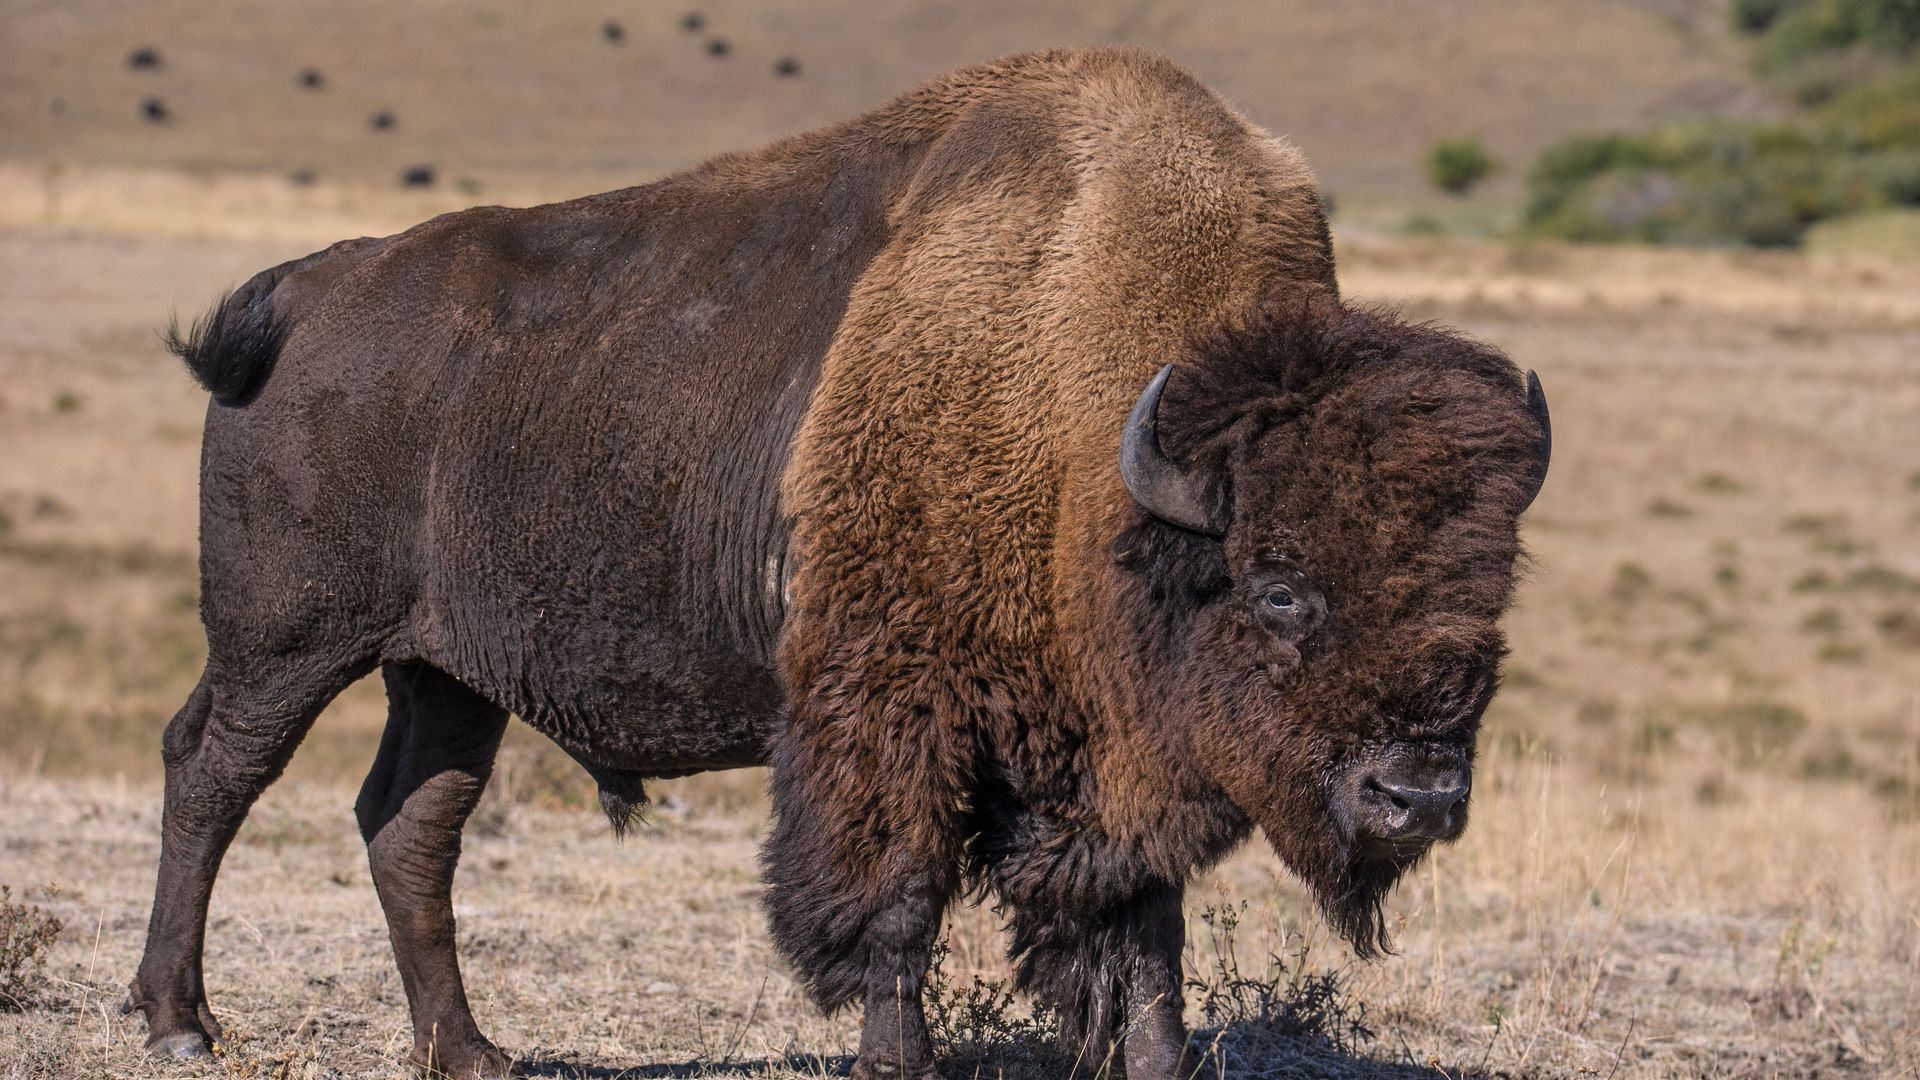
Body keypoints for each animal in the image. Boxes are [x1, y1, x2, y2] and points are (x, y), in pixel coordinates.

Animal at [128, 47, 1549, 1079]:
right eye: (1281, 588)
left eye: (1487, 606)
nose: (1419, 796)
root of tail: (312, 290)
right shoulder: (895, 714)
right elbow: (898, 904)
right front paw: (896, 1064)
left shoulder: (1116, 755)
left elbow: (1145, 931)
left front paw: (1153, 1062)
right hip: (288, 640)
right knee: (211, 772)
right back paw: (181, 1021)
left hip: (445, 674)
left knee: (409, 827)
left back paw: (473, 1054)